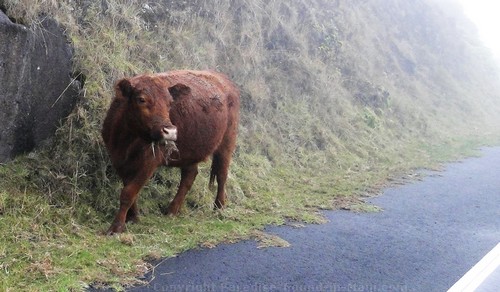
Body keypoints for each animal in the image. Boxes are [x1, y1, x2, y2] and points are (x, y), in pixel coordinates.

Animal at [100, 69, 239, 234]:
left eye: (170, 103)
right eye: (141, 99)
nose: (170, 132)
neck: (125, 140)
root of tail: (222, 78)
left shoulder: (149, 162)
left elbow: (129, 192)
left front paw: (117, 227)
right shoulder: (118, 160)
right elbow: (129, 189)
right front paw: (133, 218)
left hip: (227, 142)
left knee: (222, 174)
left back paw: (219, 207)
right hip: (190, 151)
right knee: (189, 176)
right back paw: (172, 209)